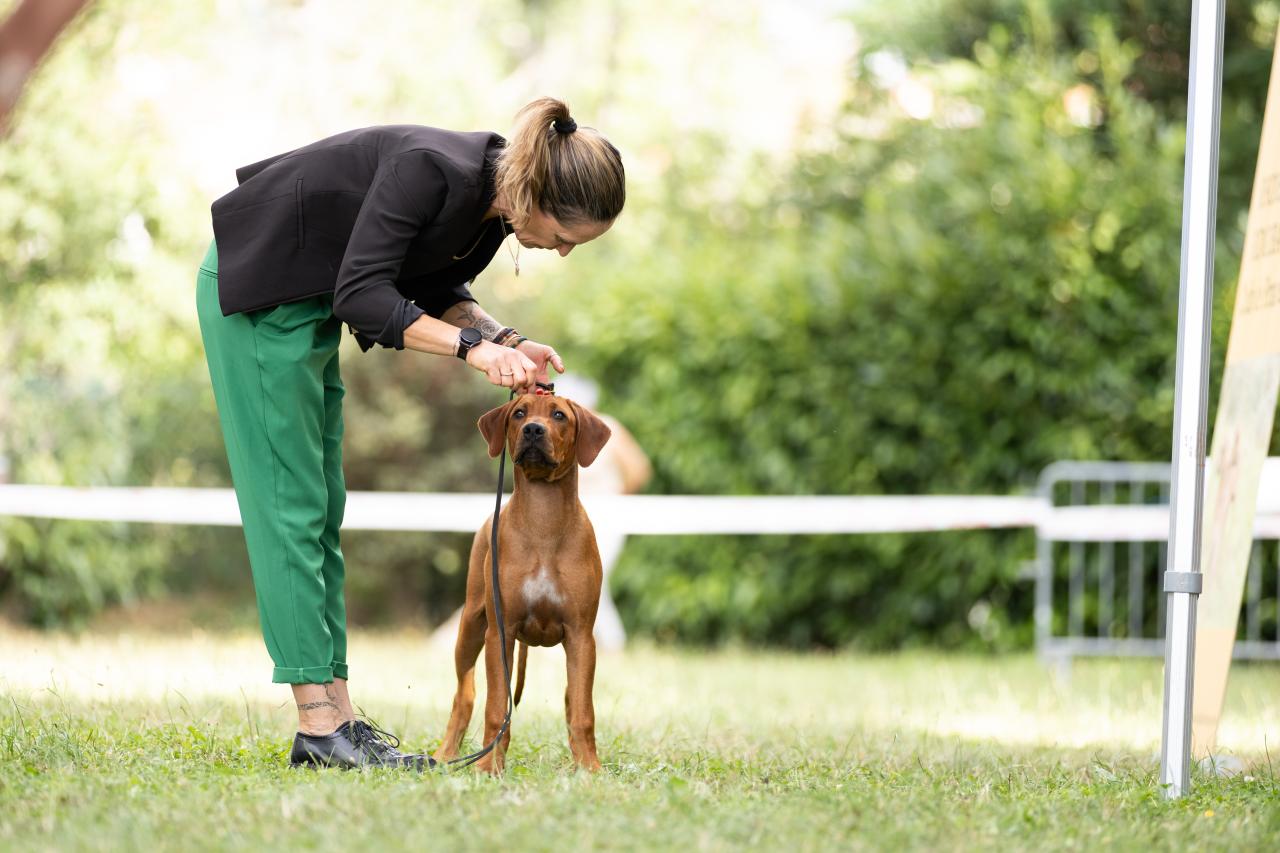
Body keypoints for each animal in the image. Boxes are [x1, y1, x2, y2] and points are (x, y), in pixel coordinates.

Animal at [435, 391, 614, 768]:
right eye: (519, 413)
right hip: (471, 626)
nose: (533, 429)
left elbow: (582, 712)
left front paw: (588, 767)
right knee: (465, 694)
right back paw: (445, 754)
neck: (543, 520)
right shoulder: (500, 632)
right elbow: (495, 708)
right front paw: (488, 767)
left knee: (569, 699)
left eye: (559, 415)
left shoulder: (581, 636)